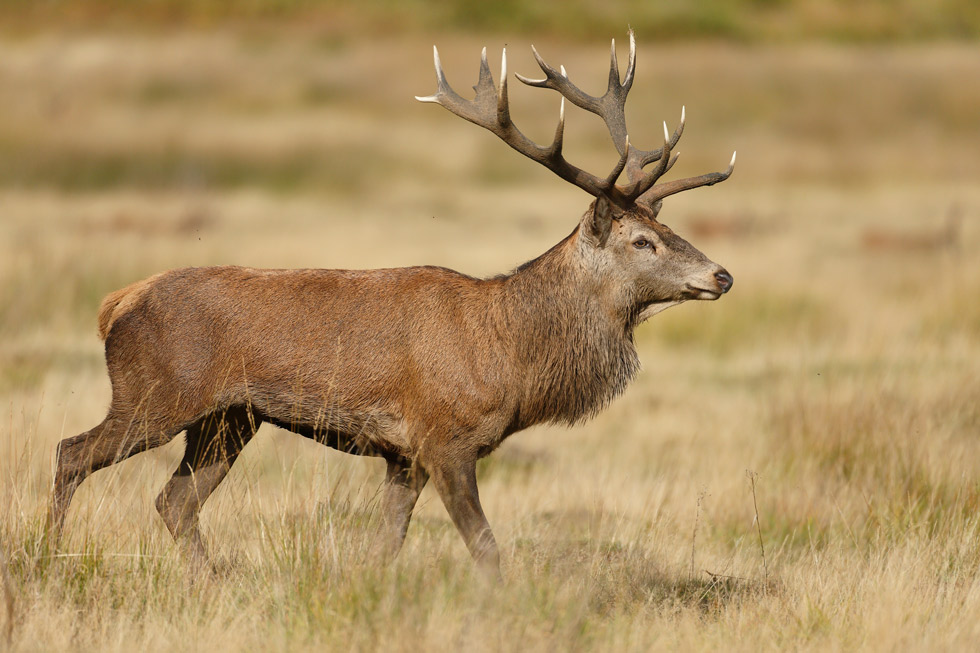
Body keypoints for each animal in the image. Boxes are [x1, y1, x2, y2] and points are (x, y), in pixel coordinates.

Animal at [46, 31, 736, 580]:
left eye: (668, 228)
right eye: (642, 240)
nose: (722, 275)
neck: (509, 353)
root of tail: (117, 303)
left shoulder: (403, 456)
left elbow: (386, 546)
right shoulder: (443, 436)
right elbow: (485, 547)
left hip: (228, 419)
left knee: (175, 500)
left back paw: (208, 580)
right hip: (155, 393)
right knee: (71, 453)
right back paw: (48, 559)